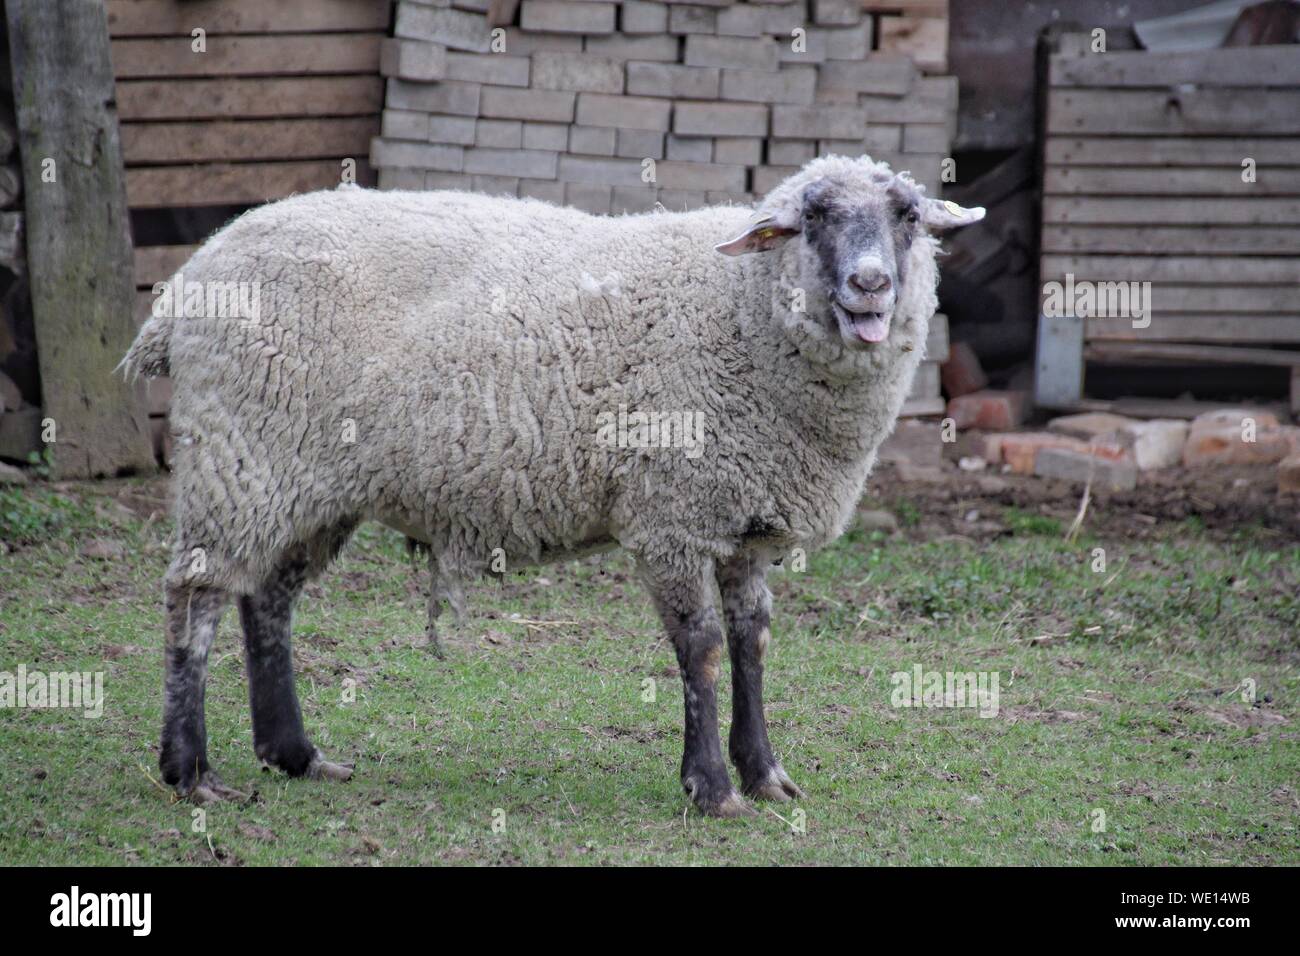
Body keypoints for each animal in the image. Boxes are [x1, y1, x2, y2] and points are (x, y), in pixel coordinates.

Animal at [123, 154, 984, 815]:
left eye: (908, 216)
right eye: (814, 218)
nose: (871, 284)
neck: (741, 312)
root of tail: (187, 282)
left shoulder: (744, 522)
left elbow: (753, 641)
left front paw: (765, 772)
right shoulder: (672, 514)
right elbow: (701, 648)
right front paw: (711, 788)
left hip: (311, 484)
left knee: (268, 599)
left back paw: (294, 754)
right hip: (241, 454)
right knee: (195, 601)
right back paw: (191, 772)